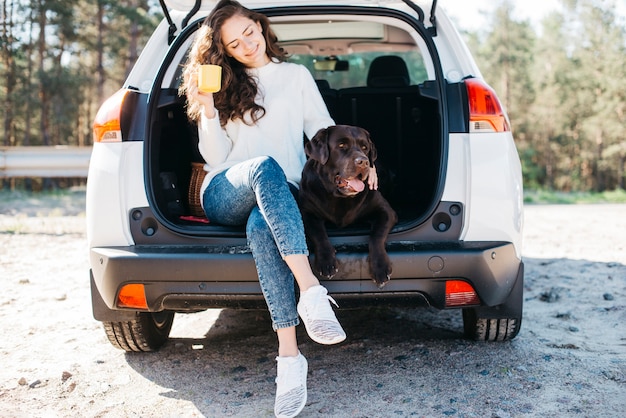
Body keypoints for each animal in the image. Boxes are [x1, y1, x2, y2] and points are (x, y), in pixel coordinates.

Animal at [298, 124, 394, 288]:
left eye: (364, 147)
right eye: (341, 146)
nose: (363, 162)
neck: (338, 197)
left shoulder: (386, 211)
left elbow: (377, 234)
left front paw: (380, 266)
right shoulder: (306, 212)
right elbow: (318, 233)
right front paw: (326, 261)